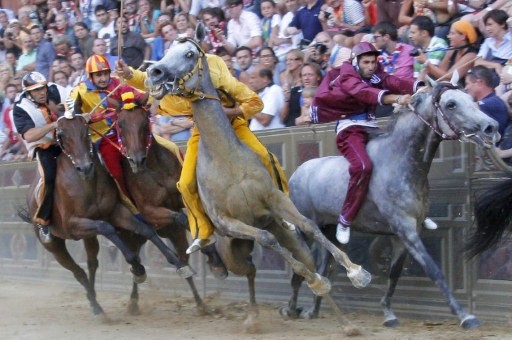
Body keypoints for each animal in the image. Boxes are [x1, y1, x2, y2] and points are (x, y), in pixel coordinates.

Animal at [144, 28, 372, 324]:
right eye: (168, 50)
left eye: (189, 53)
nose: (154, 72)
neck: (228, 161)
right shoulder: (227, 222)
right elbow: (266, 239)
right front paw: (319, 280)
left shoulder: (275, 199)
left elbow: (309, 225)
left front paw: (357, 272)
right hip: (233, 253)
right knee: (252, 269)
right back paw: (252, 314)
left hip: (288, 238)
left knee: (299, 262)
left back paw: (344, 323)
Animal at [286, 82, 498, 330]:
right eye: (451, 104)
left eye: (472, 99)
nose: (491, 127)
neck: (401, 161)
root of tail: (296, 174)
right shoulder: (405, 228)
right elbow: (433, 270)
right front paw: (465, 315)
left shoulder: (404, 233)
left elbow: (394, 273)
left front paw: (388, 313)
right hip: (304, 230)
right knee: (300, 267)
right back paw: (291, 308)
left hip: (328, 232)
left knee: (323, 268)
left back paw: (314, 310)